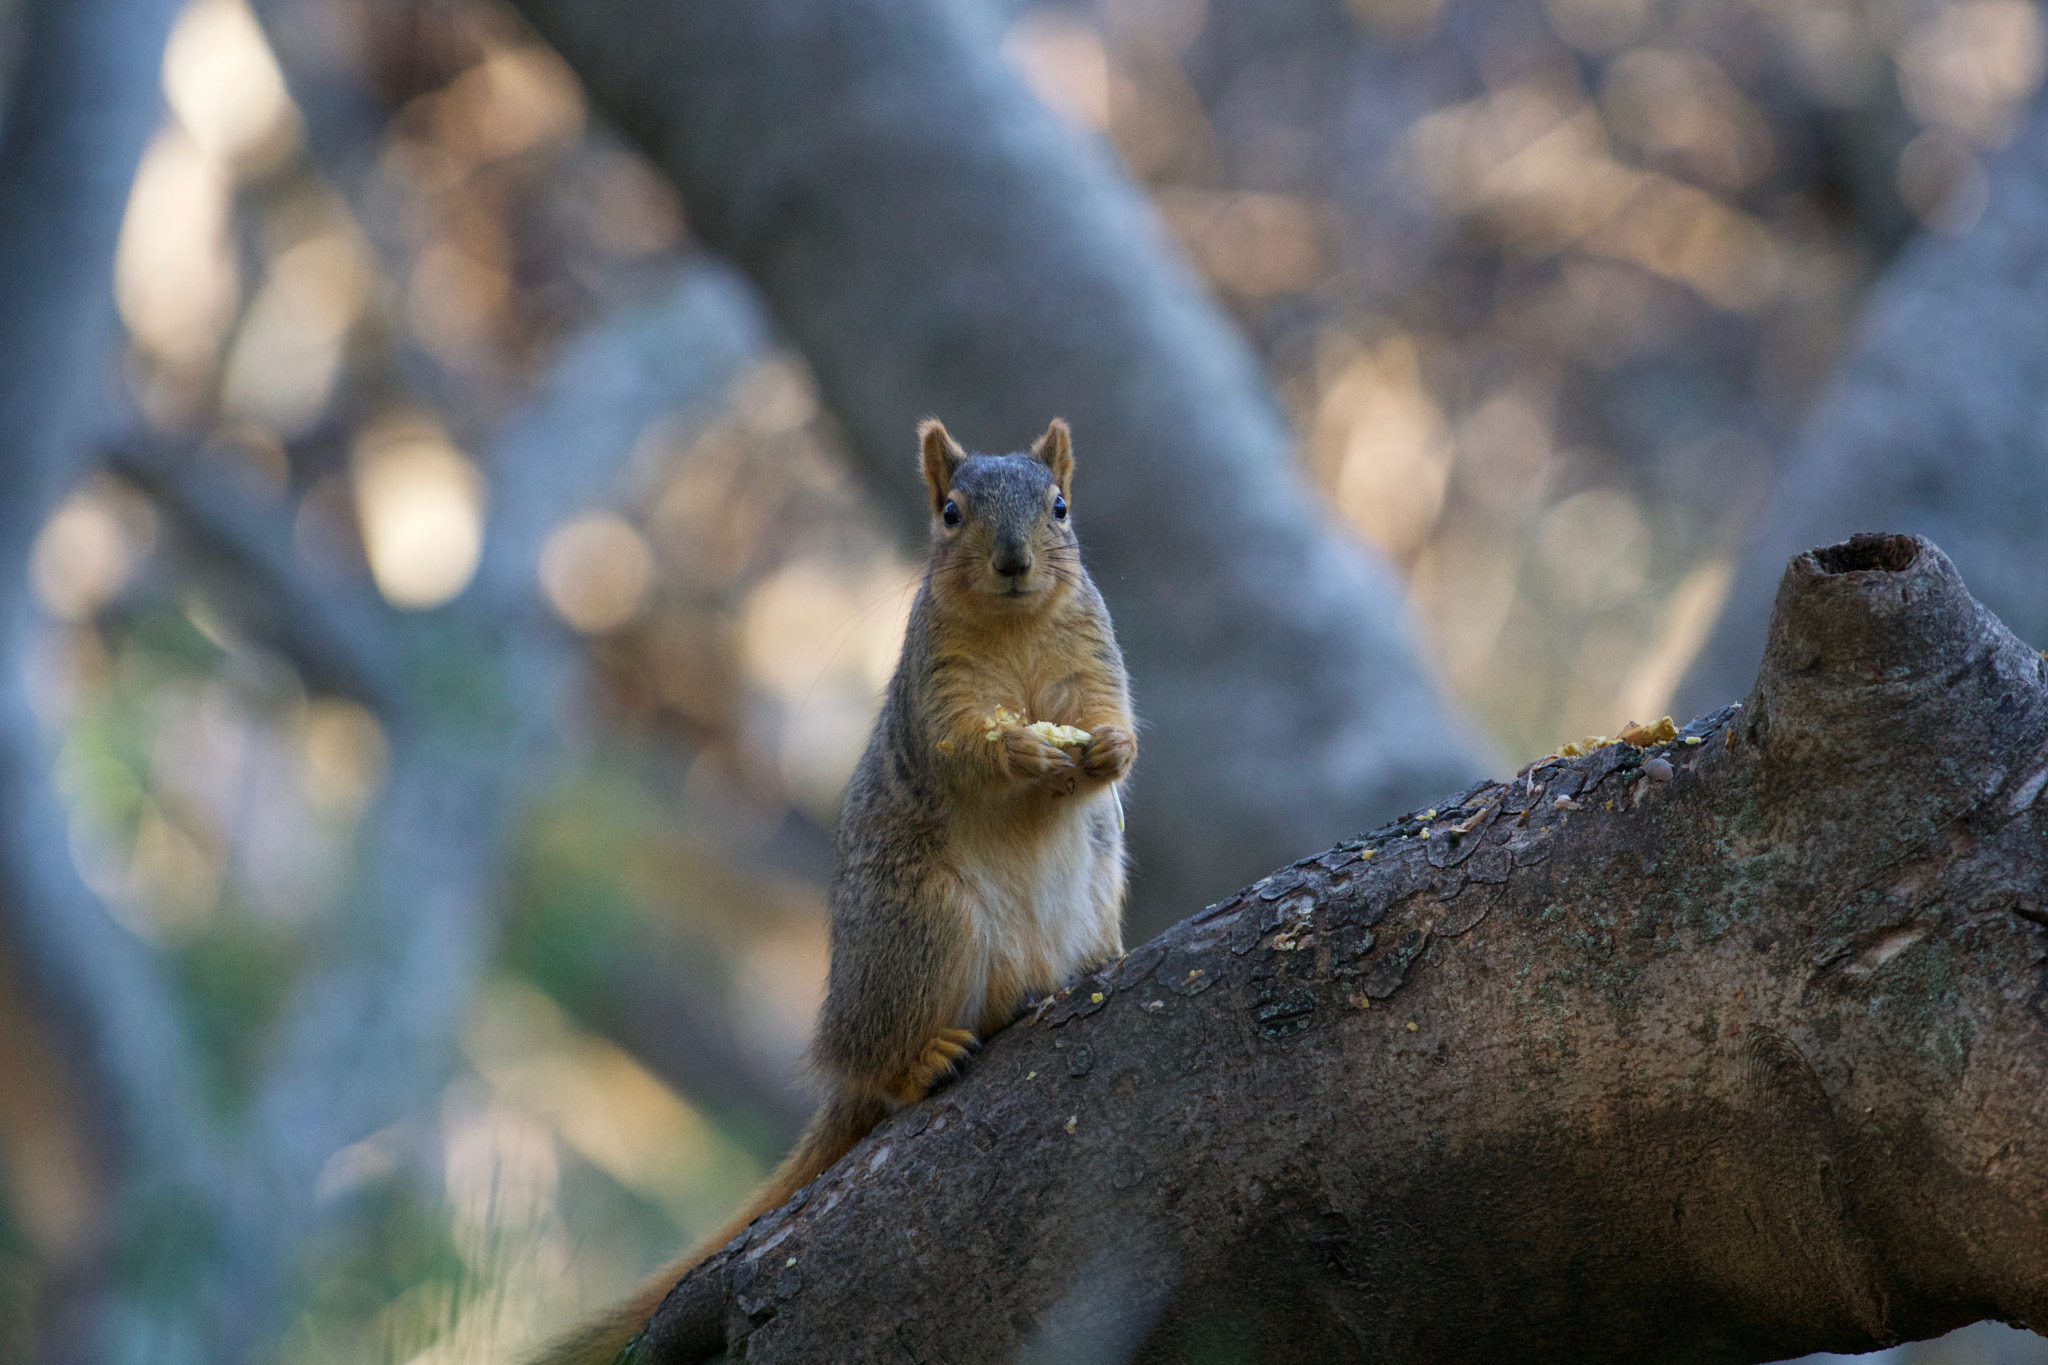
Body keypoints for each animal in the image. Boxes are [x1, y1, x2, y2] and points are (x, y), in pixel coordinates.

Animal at [528, 419, 1138, 1365]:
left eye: (1061, 506)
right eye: (950, 512)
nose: (1012, 560)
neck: (1016, 625)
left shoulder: (1095, 655)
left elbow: (1117, 720)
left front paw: (1104, 749)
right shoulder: (933, 692)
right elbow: (963, 748)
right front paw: (1020, 749)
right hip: (926, 926)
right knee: (882, 1065)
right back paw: (920, 1058)